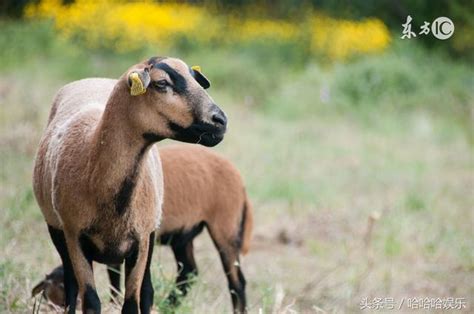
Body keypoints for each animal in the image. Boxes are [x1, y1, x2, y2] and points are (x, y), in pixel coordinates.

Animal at [32, 57, 227, 314]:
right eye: (161, 84)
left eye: (195, 79)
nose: (220, 121)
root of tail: (93, 79)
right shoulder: (74, 238)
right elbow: (90, 300)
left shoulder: (141, 241)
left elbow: (133, 302)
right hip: (58, 231)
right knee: (73, 286)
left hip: (149, 234)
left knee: (146, 290)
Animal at [32, 144, 252, 312]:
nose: (57, 307)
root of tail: (241, 183)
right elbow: (114, 275)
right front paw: (114, 302)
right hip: (183, 236)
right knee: (189, 272)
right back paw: (169, 304)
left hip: (225, 226)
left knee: (237, 282)